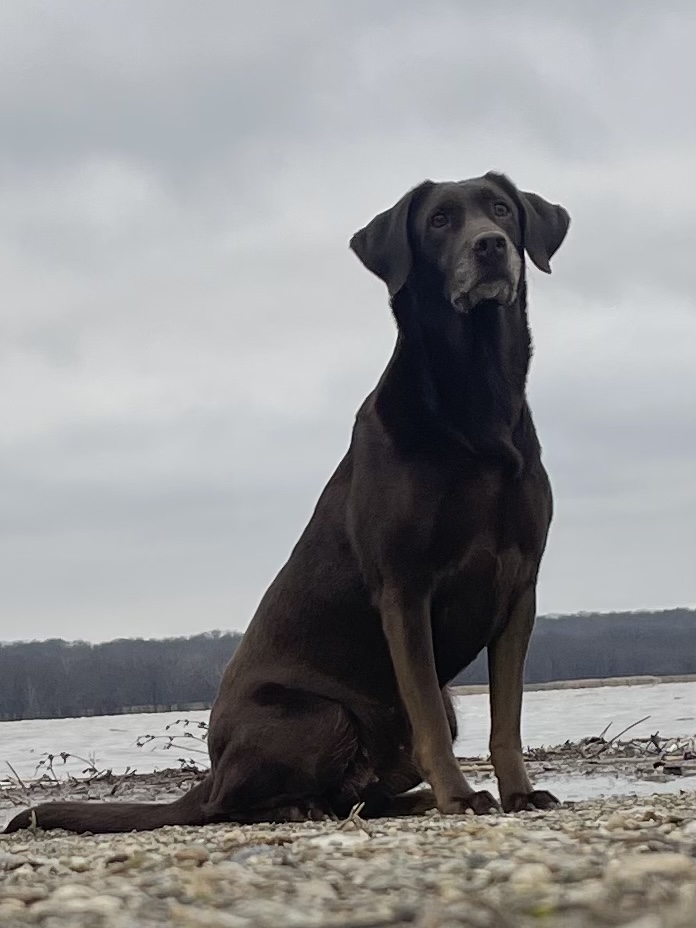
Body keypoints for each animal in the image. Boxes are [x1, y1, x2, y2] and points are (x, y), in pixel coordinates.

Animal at [4, 172, 572, 832]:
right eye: (438, 221)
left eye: (501, 211)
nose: (490, 247)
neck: (477, 403)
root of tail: (211, 768)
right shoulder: (405, 586)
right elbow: (428, 715)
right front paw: (459, 797)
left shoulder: (519, 586)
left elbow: (508, 718)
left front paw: (518, 792)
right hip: (320, 714)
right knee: (230, 805)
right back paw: (304, 805)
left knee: (360, 793)